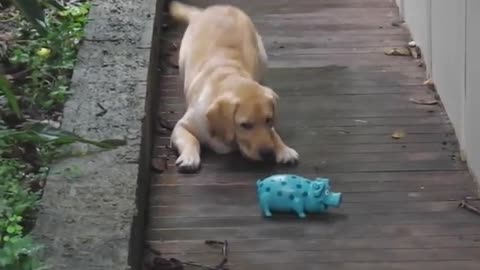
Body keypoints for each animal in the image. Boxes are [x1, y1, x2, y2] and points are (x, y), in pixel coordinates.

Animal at [167, 0, 298, 172]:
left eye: (268, 120)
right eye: (245, 125)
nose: (267, 153)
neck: (228, 77)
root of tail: (210, 9)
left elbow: (273, 133)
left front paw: (283, 148)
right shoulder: (182, 126)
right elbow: (191, 140)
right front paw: (189, 157)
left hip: (262, 56)